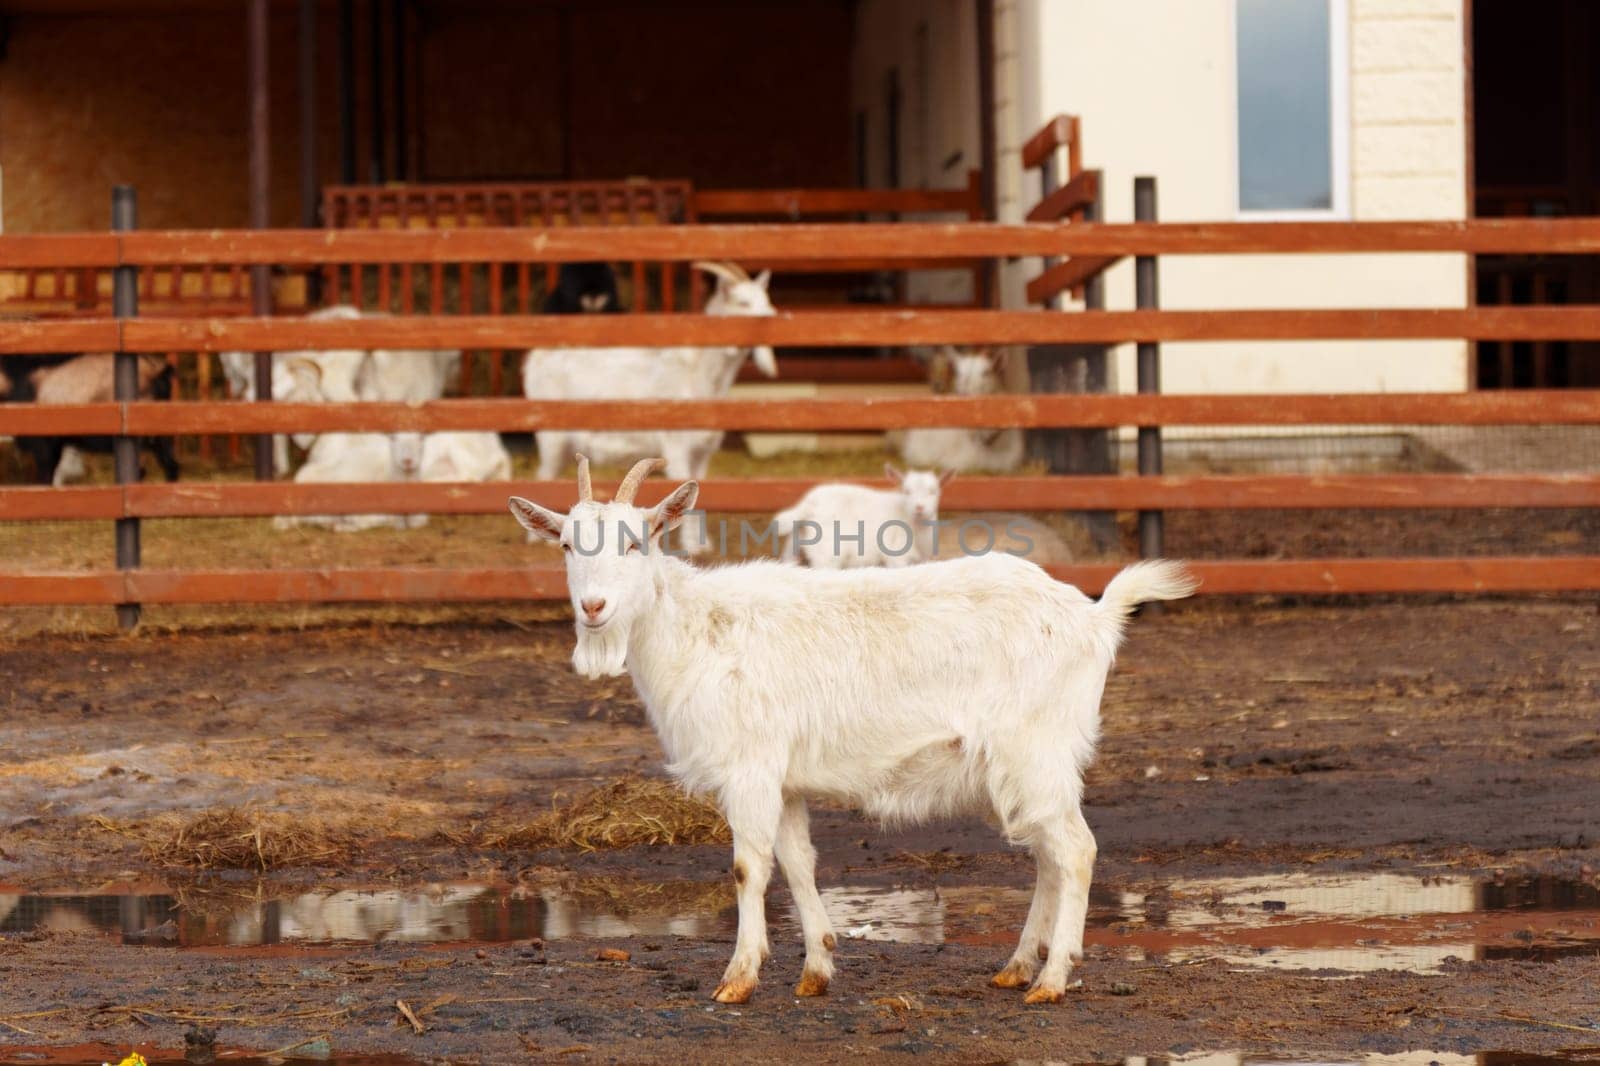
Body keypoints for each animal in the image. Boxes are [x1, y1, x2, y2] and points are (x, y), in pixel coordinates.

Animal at [521, 260, 777, 480]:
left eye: (765, 299)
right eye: (743, 302)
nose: (771, 317)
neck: (699, 373)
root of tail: (535, 359)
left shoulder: (701, 454)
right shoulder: (676, 449)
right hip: (551, 440)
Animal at [774, 464, 947, 563]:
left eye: (934, 492)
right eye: (906, 491)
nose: (919, 508)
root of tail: (809, 504)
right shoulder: (896, 556)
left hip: (794, 541)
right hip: (827, 552)